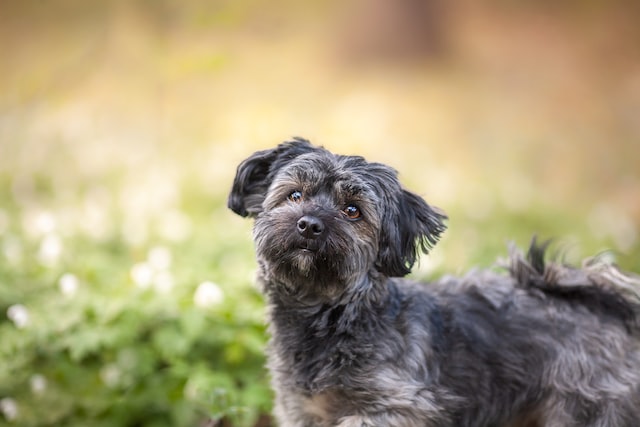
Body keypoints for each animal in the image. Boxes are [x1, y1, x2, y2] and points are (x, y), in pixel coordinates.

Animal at [226, 139, 640, 426]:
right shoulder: (303, 410)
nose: (309, 224)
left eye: (352, 211)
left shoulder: (400, 406)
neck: (331, 317)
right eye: (294, 194)